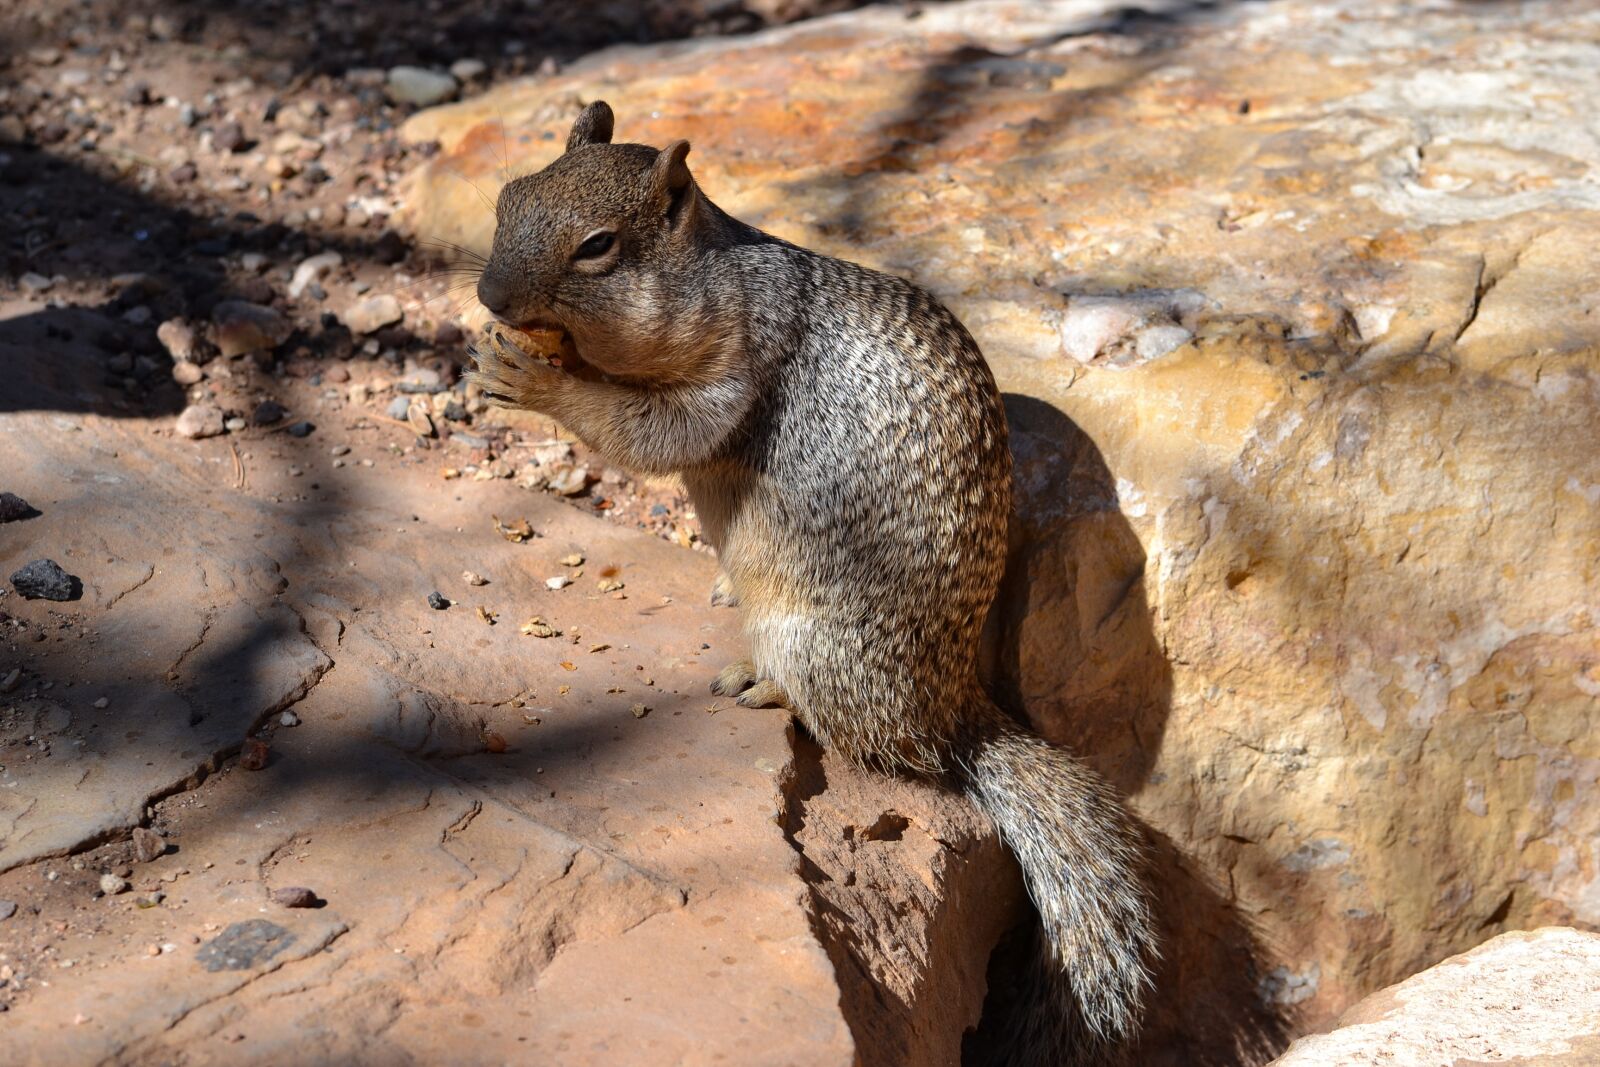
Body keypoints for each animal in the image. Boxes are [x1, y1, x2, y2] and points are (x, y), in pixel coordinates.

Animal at [467, 101, 1157, 1064]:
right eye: (508, 197)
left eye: (597, 246)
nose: (492, 299)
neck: (716, 279)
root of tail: (952, 709)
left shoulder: (737, 369)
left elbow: (655, 433)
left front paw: (536, 378)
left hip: (816, 643)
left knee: (860, 735)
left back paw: (762, 685)